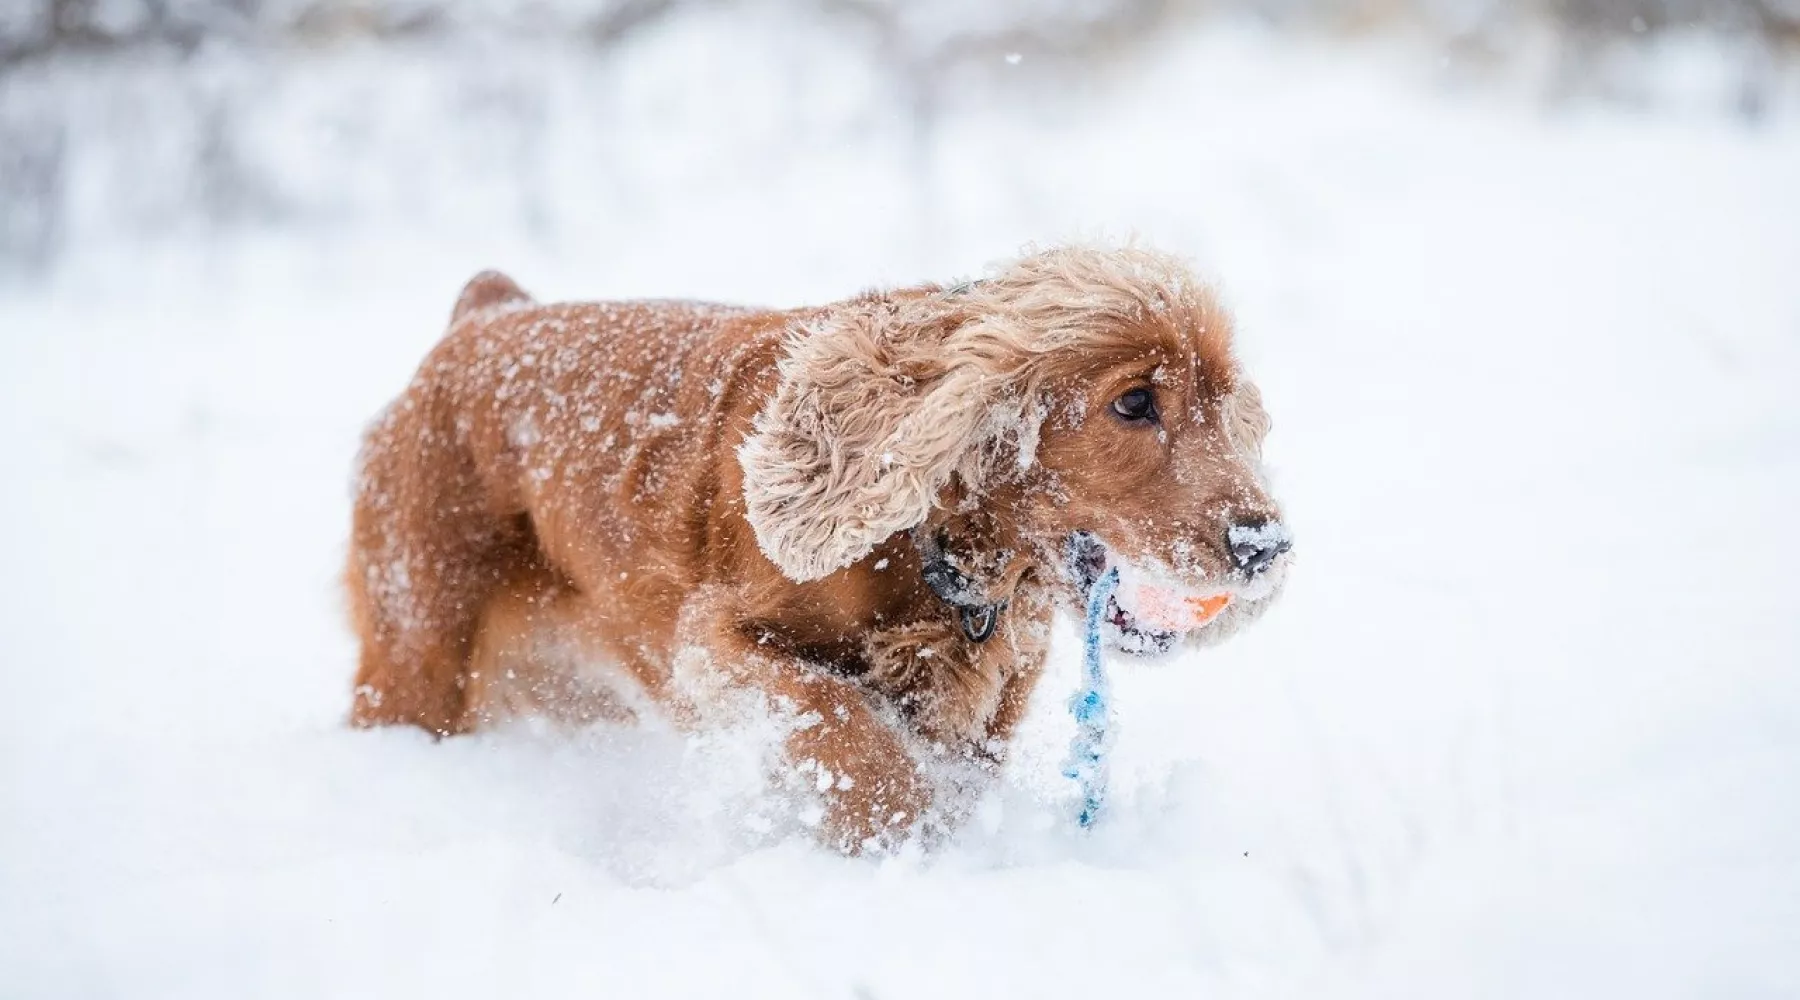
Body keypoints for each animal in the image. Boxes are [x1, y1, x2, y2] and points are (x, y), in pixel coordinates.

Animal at [343, 246, 1288, 848]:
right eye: (1133, 403)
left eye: (1229, 403)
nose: (1266, 544)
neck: (930, 544)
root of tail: (485, 316)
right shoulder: (715, 641)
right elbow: (838, 717)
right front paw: (893, 830)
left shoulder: (992, 700)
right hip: (419, 645)